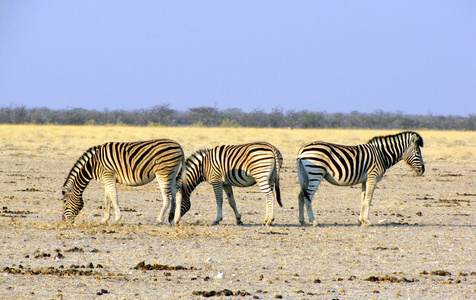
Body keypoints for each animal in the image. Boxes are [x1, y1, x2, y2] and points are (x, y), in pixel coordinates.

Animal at [296, 130, 426, 226]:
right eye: (418, 153)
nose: (422, 170)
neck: (382, 155)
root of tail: (302, 149)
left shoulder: (365, 180)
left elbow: (363, 199)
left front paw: (361, 220)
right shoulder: (372, 177)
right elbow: (369, 199)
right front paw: (367, 221)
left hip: (305, 175)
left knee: (301, 195)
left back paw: (302, 221)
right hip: (316, 173)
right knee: (308, 196)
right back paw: (314, 221)